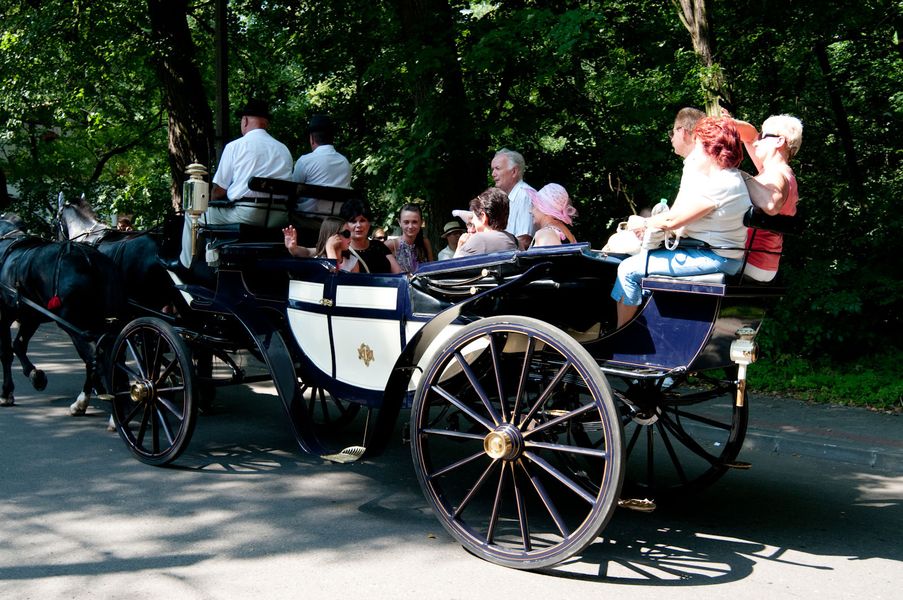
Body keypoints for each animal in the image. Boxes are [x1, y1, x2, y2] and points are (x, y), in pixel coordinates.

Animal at [0, 214, 125, 414]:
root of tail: (91, 260)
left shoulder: (5, 314)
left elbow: (6, 352)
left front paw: (7, 393)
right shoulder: (30, 316)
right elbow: (18, 345)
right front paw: (36, 375)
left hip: (75, 325)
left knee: (93, 358)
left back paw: (84, 402)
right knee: (111, 356)